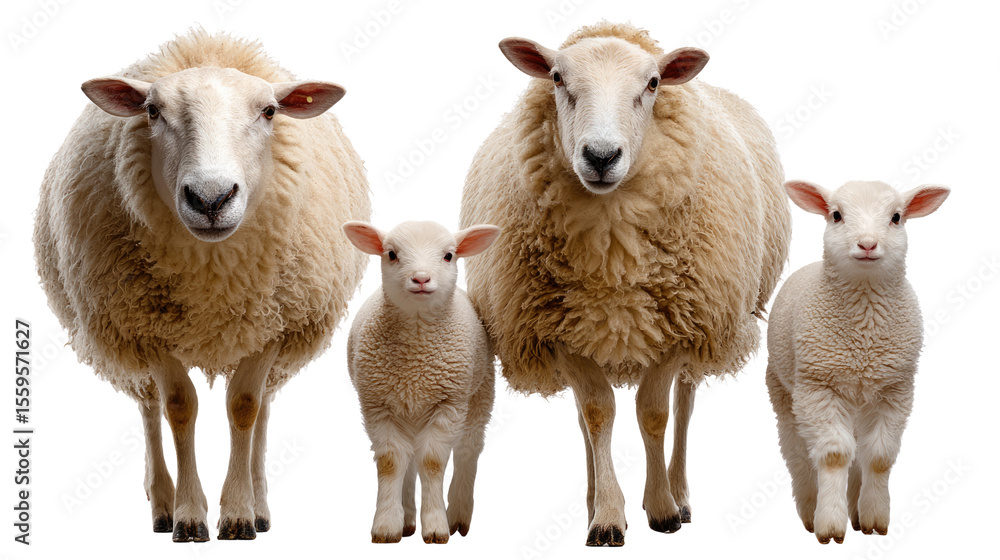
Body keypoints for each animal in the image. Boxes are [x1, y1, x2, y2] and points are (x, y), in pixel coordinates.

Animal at [32, 30, 370, 542]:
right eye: (152, 111)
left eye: (269, 111)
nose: (210, 199)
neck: (213, 274)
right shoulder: (145, 326)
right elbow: (178, 407)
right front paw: (190, 516)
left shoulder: (274, 325)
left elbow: (246, 407)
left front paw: (239, 514)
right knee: (149, 406)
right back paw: (162, 504)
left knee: (263, 407)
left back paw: (260, 504)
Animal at [343, 220, 500, 544]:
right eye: (391, 254)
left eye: (449, 256)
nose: (421, 278)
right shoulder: (377, 404)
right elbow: (392, 461)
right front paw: (387, 525)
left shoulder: (449, 403)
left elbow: (432, 461)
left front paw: (437, 526)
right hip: (408, 410)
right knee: (408, 459)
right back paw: (406, 521)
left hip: (479, 394)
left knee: (467, 448)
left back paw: (458, 517)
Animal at [459, 21, 791, 546]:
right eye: (557, 78)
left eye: (652, 84)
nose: (600, 156)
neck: (611, 249)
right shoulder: (561, 333)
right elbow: (597, 415)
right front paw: (608, 516)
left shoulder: (677, 326)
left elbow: (654, 415)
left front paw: (662, 509)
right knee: (586, 417)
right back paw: (594, 498)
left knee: (685, 404)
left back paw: (681, 494)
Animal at [766, 179, 949, 544]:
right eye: (836, 215)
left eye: (896, 217)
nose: (867, 244)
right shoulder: (818, 387)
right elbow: (834, 455)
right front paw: (829, 525)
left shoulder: (896, 389)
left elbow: (878, 457)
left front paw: (874, 517)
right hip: (783, 390)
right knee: (797, 452)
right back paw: (810, 510)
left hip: (857, 399)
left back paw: (855, 511)